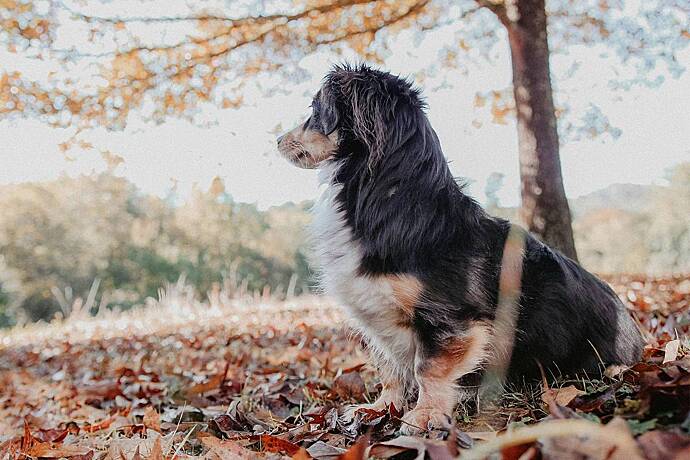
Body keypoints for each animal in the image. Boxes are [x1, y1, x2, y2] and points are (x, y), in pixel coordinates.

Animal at [276, 63, 644, 434]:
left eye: (315, 111)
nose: (277, 140)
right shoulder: (379, 319)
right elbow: (390, 370)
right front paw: (378, 409)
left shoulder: (448, 319)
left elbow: (427, 369)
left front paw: (424, 415)